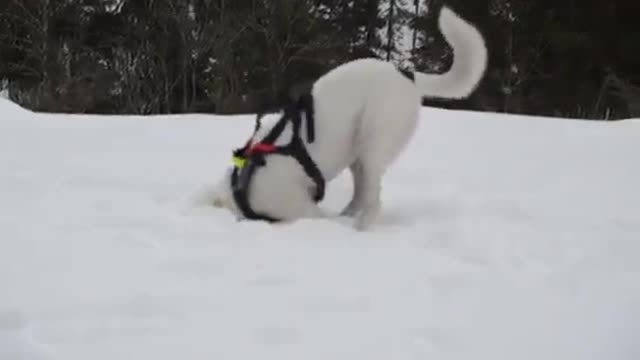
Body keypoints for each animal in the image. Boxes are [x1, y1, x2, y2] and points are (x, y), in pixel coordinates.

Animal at [209, 7, 484, 231]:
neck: (242, 189)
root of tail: (406, 75)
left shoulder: (302, 208)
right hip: (357, 153)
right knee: (361, 193)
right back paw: (349, 215)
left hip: (373, 140)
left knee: (373, 198)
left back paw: (360, 227)